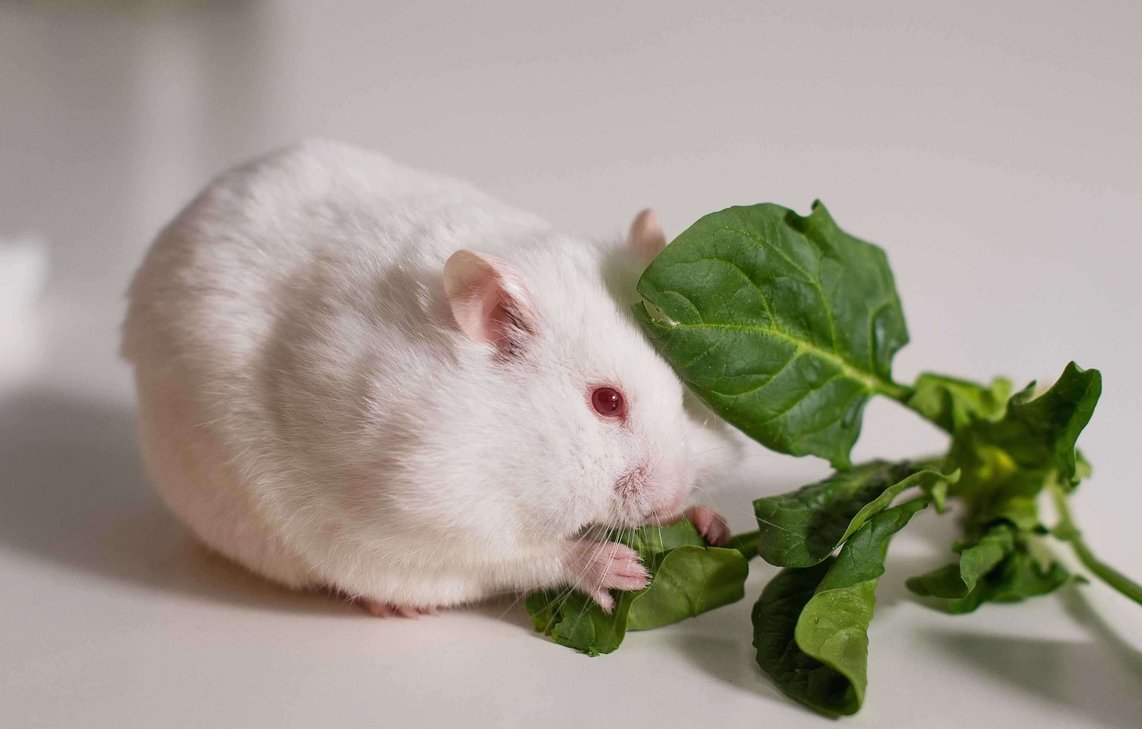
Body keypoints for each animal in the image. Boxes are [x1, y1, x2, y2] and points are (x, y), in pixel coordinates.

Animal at [121, 140, 736, 616]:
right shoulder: (439, 518)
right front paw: (621, 570)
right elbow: (525, 558)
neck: (510, 446)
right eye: (607, 402)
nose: (674, 492)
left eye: (685, 394)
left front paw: (711, 524)